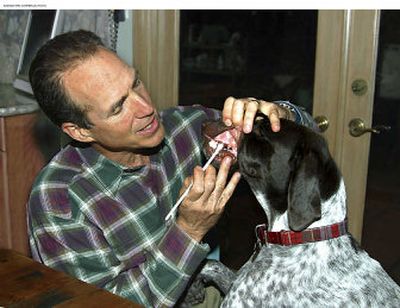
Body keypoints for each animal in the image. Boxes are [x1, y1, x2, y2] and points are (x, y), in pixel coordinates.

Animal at [188, 116, 400, 308]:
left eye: (262, 132)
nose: (206, 122)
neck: (299, 236)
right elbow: (210, 264)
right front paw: (194, 287)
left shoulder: (238, 299)